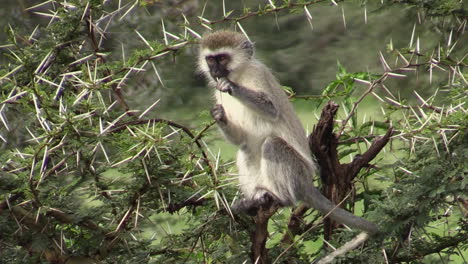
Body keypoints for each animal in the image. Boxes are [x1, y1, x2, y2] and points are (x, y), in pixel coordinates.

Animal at [198, 29, 380, 234]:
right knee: (245, 148)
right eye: (210, 59)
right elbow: (240, 138)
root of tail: (307, 184)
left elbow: (271, 109)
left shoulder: (257, 73)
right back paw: (255, 199)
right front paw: (218, 115)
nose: (214, 71)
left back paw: (281, 198)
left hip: (297, 174)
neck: (239, 74)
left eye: (222, 58)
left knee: (272, 144)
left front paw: (231, 87)